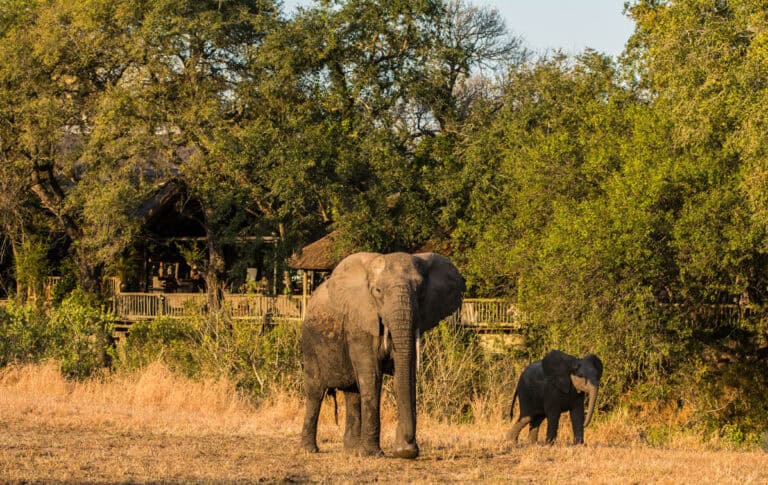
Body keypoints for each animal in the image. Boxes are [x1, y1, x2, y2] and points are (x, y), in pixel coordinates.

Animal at [300, 252, 464, 459]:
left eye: (420, 290)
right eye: (378, 291)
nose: (409, 448)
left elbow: (405, 375)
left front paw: (401, 451)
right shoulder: (360, 324)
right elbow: (372, 376)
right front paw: (373, 454)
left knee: (353, 393)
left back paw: (351, 451)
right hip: (310, 343)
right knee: (315, 392)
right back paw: (310, 450)